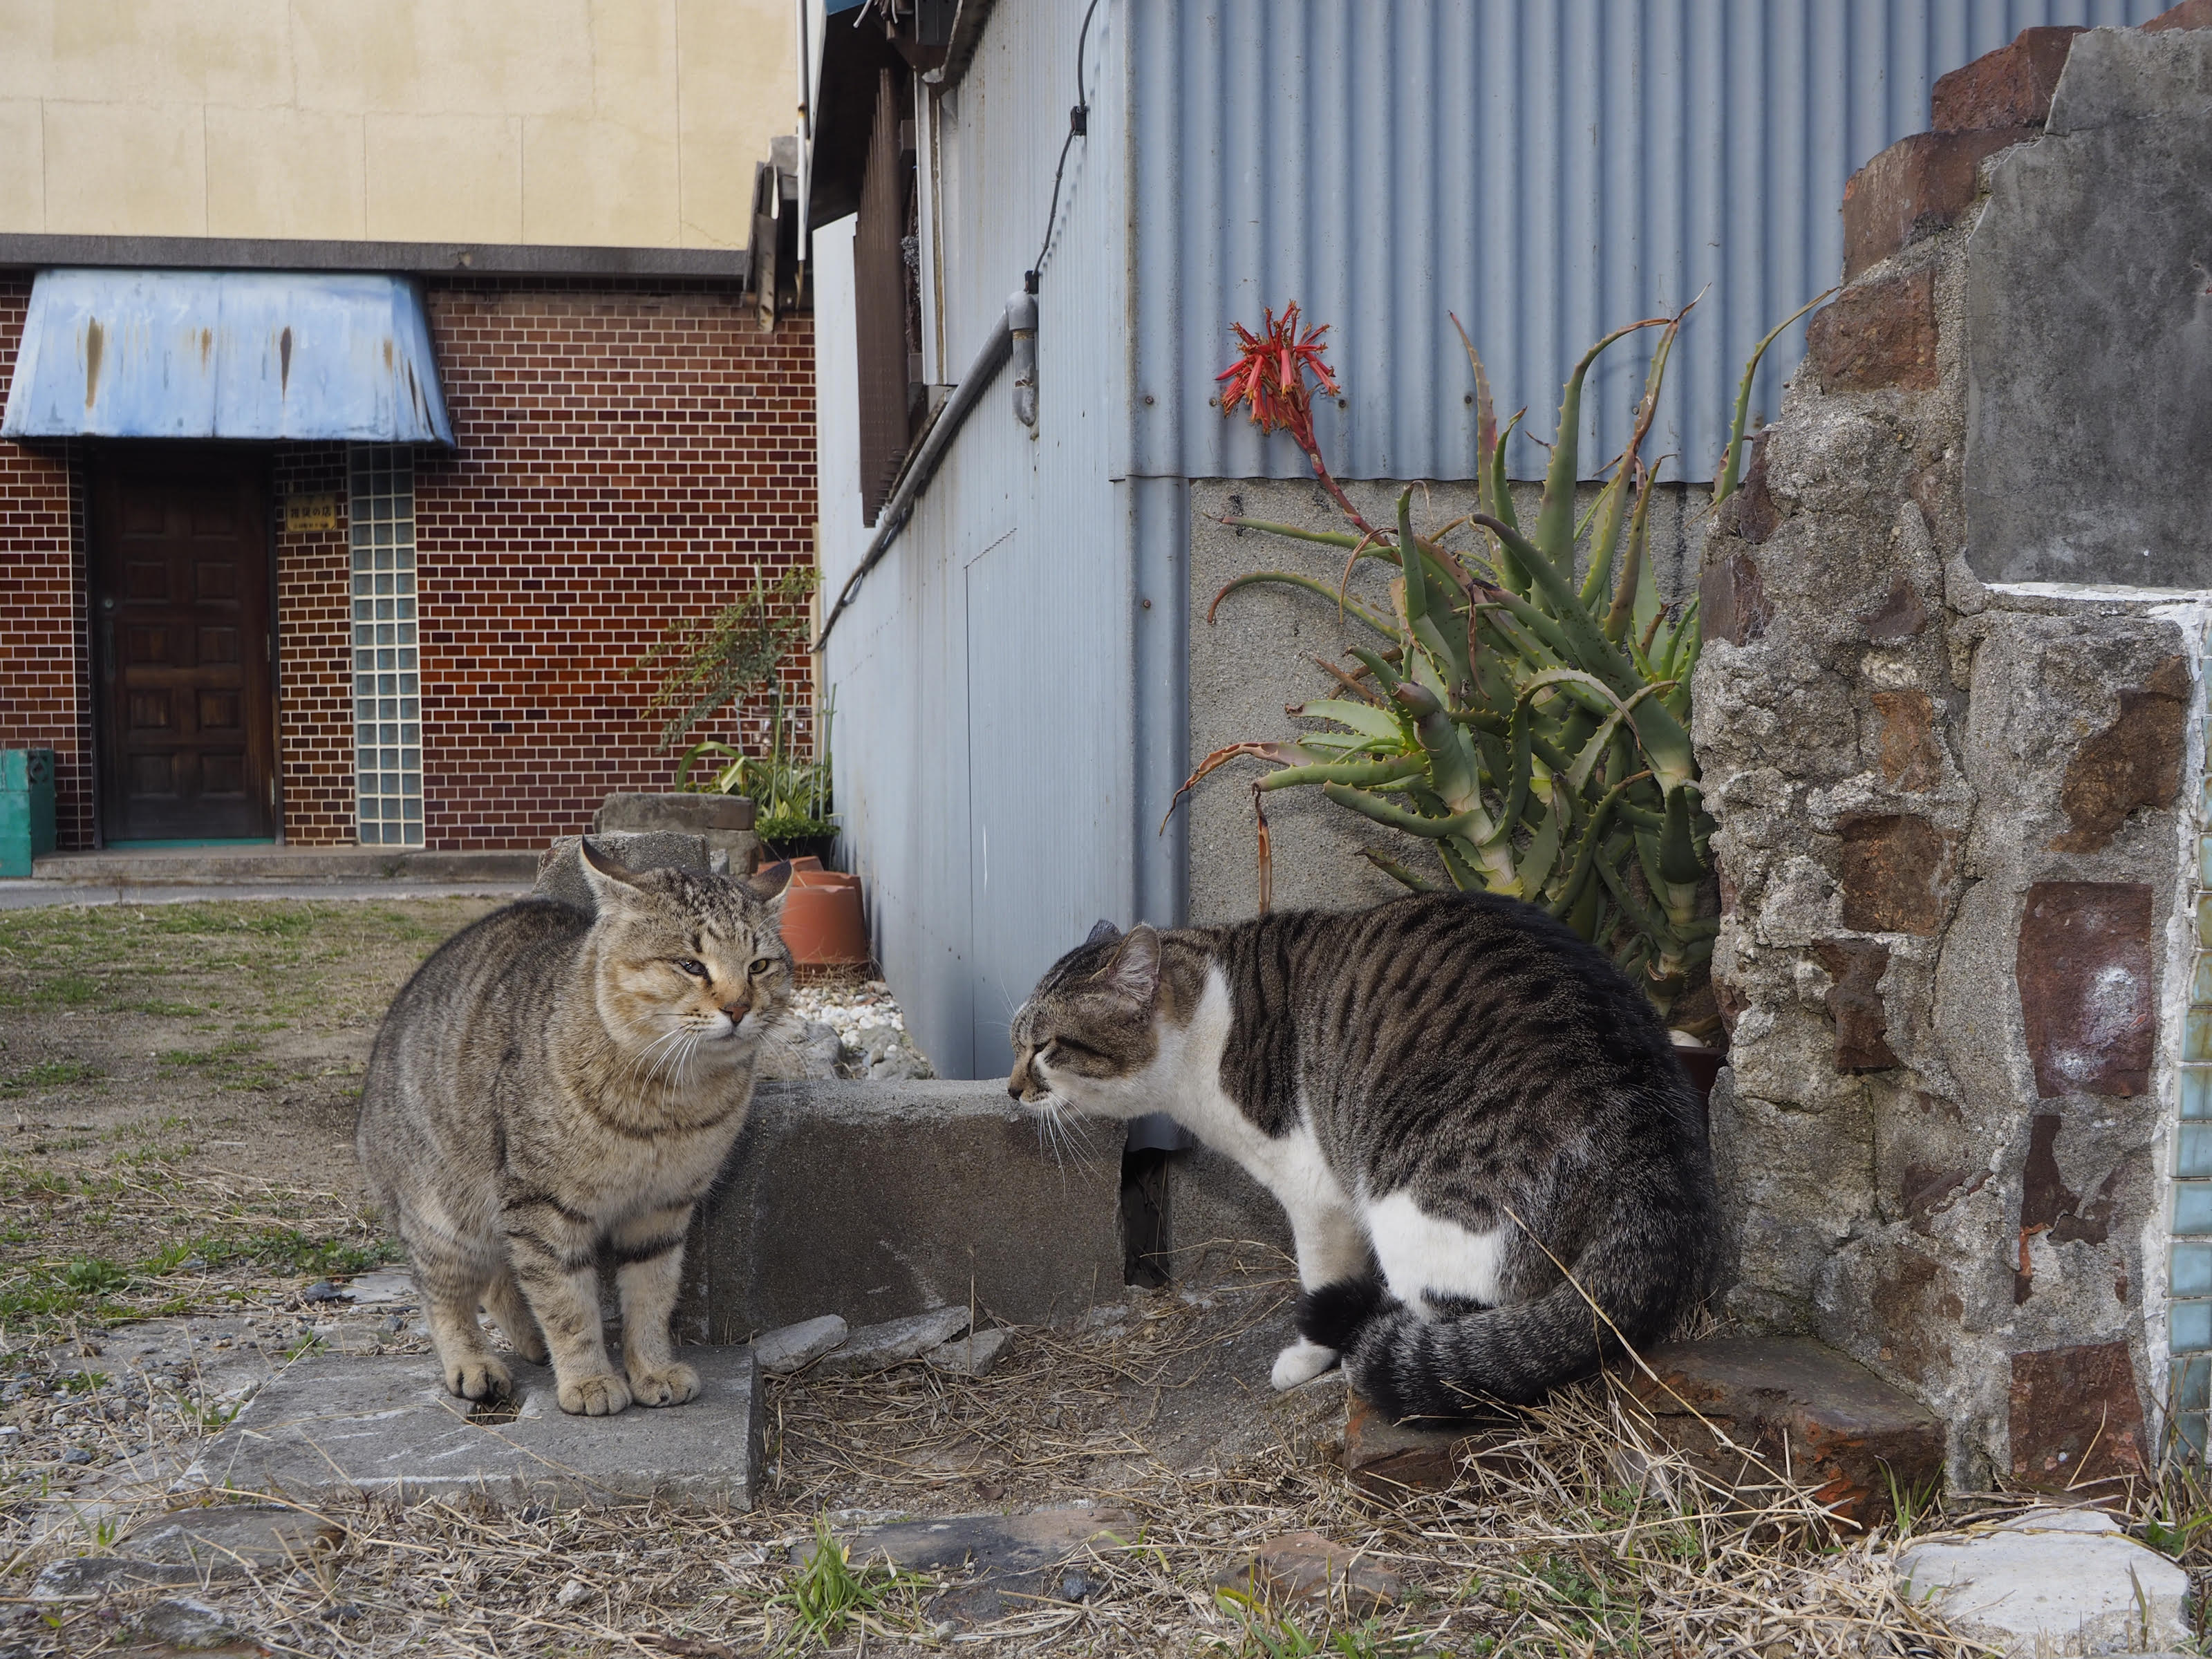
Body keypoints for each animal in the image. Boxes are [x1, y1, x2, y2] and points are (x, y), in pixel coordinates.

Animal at [354, 849, 787, 1424]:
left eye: (759, 965)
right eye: (691, 965)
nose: (739, 1008)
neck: (671, 1101)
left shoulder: (664, 1210)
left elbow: (652, 1298)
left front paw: (652, 1369)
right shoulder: (543, 1207)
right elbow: (567, 1304)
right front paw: (588, 1379)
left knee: (500, 1279)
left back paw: (530, 1343)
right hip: (445, 1214)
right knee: (442, 1291)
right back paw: (473, 1362)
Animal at [1013, 889, 1716, 1424]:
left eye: (1044, 1047)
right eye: (1016, 1042)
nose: (1012, 1089)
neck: (1205, 1020)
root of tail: (1654, 1167)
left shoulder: (1314, 1192)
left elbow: (1319, 1278)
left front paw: (1306, 1360)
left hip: (1420, 1211)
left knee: (1458, 1336)